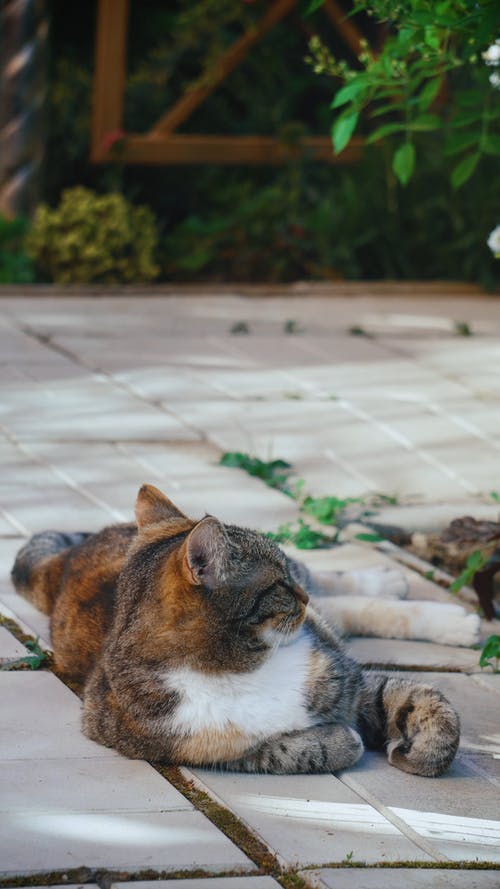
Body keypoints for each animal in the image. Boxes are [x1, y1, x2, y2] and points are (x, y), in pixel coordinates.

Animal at [10, 482, 460, 772]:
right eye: (279, 584)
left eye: (284, 573)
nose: (302, 597)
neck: (239, 667)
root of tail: (61, 565)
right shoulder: (153, 736)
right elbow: (281, 751)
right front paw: (342, 739)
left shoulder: (351, 682)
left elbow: (428, 706)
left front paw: (422, 753)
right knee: (337, 607)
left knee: (337, 592)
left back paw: (426, 604)